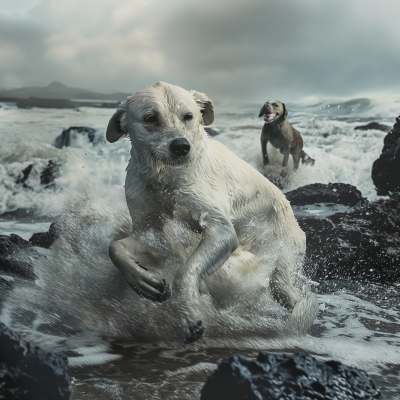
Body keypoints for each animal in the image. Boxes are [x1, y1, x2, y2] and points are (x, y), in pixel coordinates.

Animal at [107, 82, 318, 344]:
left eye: (188, 116)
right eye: (150, 118)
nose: (181, 147)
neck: (165, 176)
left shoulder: (220, 228)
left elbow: (185, 270)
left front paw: (188, 316)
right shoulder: (151, 227)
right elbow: (116, 247)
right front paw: (143, 281)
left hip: (283, 257)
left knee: (296, 296)